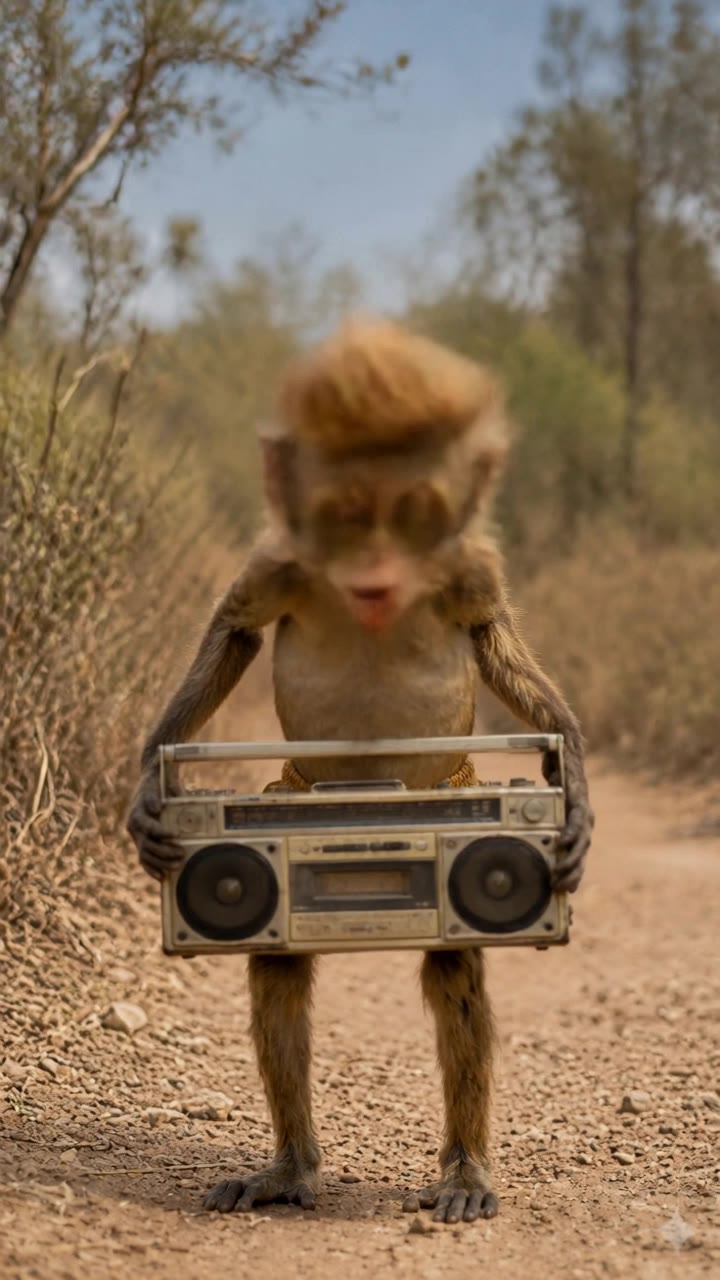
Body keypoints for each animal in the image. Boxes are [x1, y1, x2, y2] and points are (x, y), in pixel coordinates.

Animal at [127, 317, 593, 1225]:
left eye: (415, 513)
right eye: (342, 514)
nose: (376, 563)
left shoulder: (473, 567)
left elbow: (499, 643)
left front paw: (579, 806)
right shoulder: (272, 563)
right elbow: (234, 631)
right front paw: (143, 804)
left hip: (454, 803)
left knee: (456, 976)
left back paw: (464, 1178)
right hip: (290, 809)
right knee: (276, 973)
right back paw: (287, 1172)